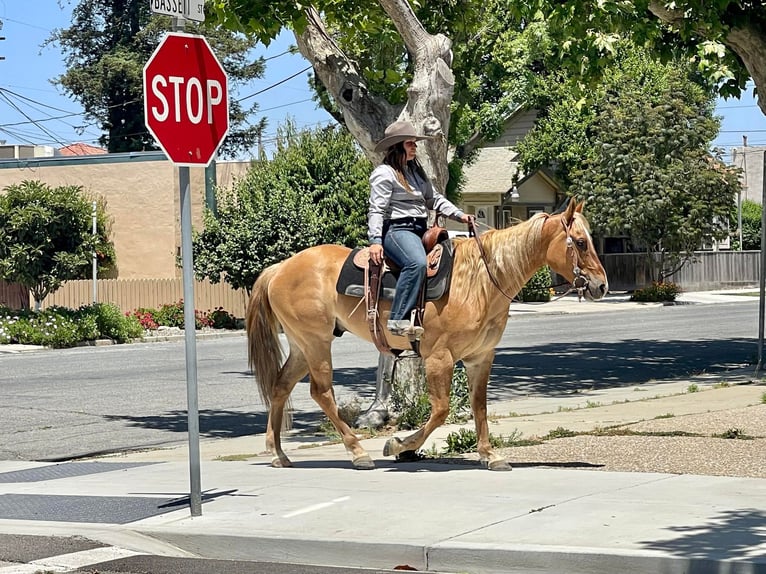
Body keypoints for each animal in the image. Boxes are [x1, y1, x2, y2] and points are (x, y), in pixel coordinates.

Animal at [249, 202, 608, 472]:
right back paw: (358, 453)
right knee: (321, 393)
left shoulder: (480, 357)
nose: (601, 285)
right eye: (580, 242)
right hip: (316, 342)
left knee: (280, 386)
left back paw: (278, 453)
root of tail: (279, 268)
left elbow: (479, 405)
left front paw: (490, 455)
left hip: (301, 344)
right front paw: (400, 445)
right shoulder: (439, 357)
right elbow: (441, 410)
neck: (479, 280)